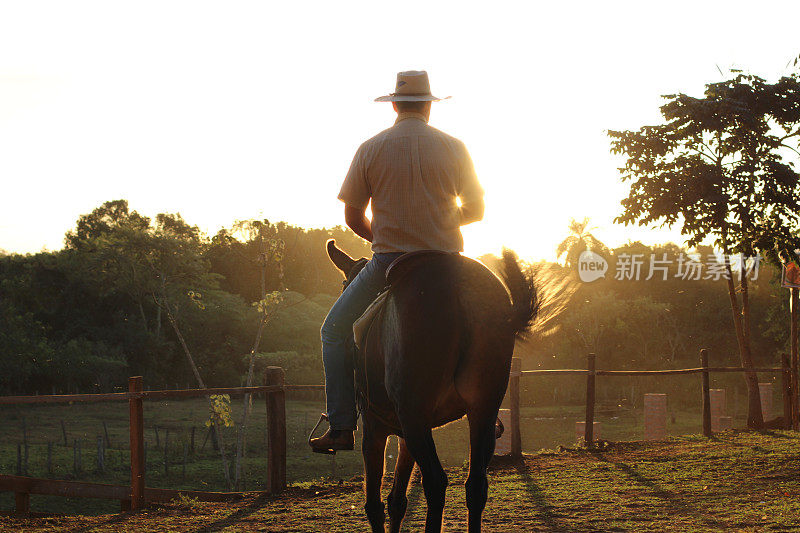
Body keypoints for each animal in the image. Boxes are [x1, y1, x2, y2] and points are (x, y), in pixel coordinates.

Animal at [324, 241, 536, 532]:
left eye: (345, 284)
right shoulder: (404, 434)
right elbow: (397, 500)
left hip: (414, 415)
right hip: (481, 410)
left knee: (436, 483)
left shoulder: (376, 427)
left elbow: (375, 505)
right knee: (476, 485)